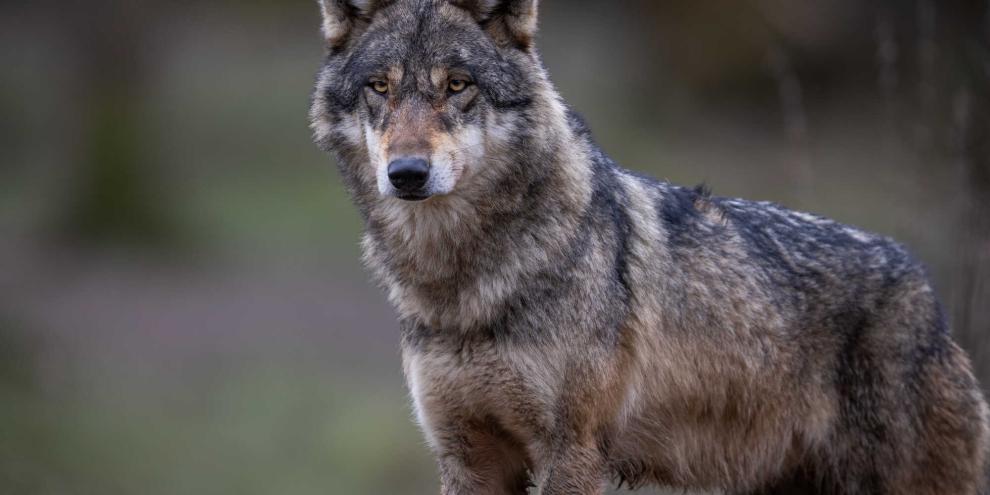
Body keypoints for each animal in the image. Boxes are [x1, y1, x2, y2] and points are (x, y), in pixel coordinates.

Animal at [309, 1, 990, 493]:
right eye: (379, 87)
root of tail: (925, 288)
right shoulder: (466, 458)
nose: (407, 174)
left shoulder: (571, 453)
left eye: (457, 85)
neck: (461, 285)